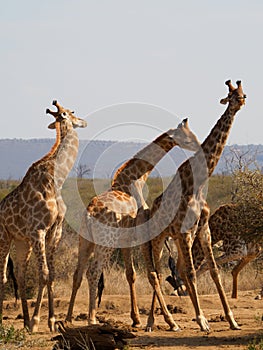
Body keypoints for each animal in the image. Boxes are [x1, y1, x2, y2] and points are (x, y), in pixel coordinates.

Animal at [0, 100, 87, 330]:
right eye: (72, 113)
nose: (84, 121)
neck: (57, 179)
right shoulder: (38, 230)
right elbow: (45, 273)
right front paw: (38, 320)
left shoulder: (54, 231)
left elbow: (50, 275)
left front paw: (50, 321)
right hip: (5, 237)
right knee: (2, 275)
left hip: (22, 242)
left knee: (19, 275)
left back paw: (24, 320)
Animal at [65, 118, 201, 326]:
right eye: (187, 137)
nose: (198, 147)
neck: (136, 178)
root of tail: (89, 215)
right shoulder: (142, 234)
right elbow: (151, 274)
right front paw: (164, 320)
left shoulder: (126, 239)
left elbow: (131, 274)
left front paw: (136, 318)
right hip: (106, 242)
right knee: (93, 271)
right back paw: (92, 318)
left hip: (85, 241)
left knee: (78, 273)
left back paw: (68, 318)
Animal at [142, 79, 248, 330]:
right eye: (231, 95)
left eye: (242, 92)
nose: (241, 101)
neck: (199, 180)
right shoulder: (185, 231)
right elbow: (191, 272)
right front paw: (202, 320)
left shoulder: (203, 229)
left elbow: (214, 271)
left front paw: (231, 320)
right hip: (159, 238)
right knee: (157, 272)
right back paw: (154, 321)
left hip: (178, 239)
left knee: (177, 269)